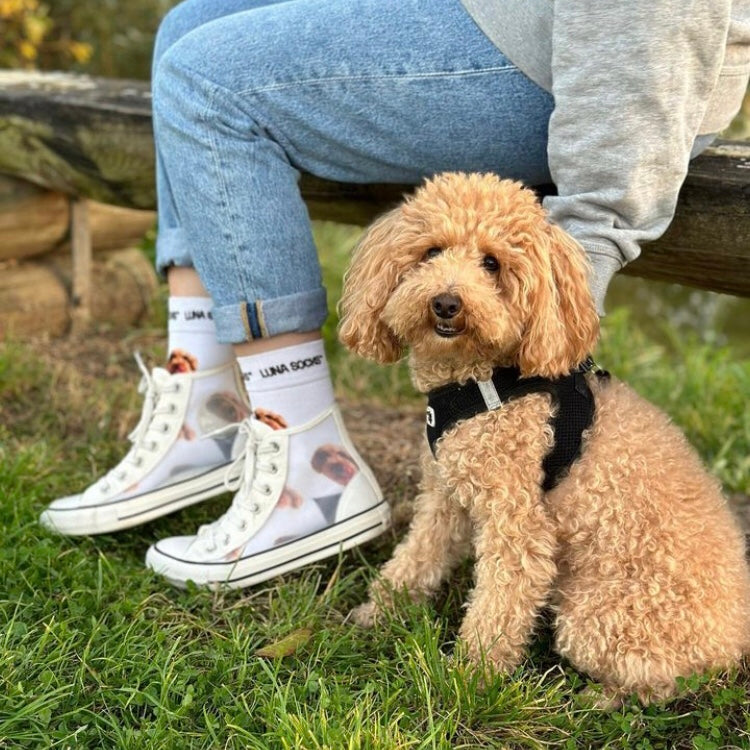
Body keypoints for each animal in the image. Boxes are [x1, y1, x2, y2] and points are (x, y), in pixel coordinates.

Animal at [340, 173, 750, 708]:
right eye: (430, 252)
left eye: (492, 263)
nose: (446, 303)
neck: (483, 380)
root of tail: (732, 643)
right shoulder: (445, 497)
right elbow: (416, 558)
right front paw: (378, 613)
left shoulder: (518, 524)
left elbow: (497, 607)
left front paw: (468, 679)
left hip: (596, 617)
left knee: (655, 681)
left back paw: (597, 698)